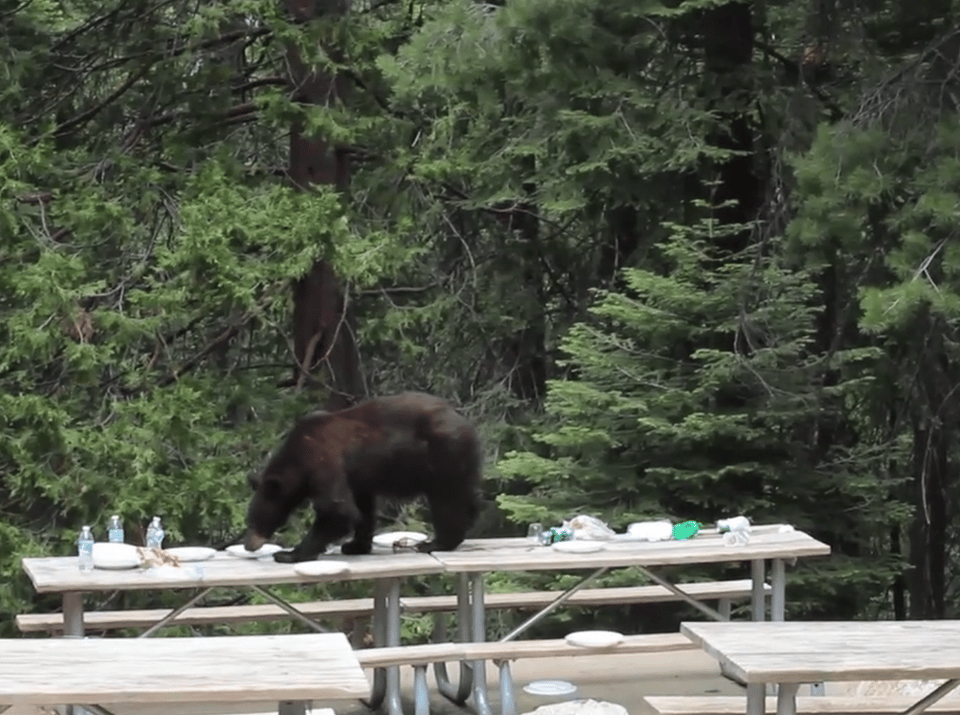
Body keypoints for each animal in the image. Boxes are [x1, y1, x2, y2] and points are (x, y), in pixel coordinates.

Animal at [243, 391, 483, 563]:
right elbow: (362, 508)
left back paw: (436, 542)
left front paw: (289, 554)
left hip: (443, 453)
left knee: (446, 499)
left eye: (255, 520)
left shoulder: (323, 462)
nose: (248, 545)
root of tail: (461, 418)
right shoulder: (357, 476)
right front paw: (355, 545)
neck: (297, 459)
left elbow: (337, 510)